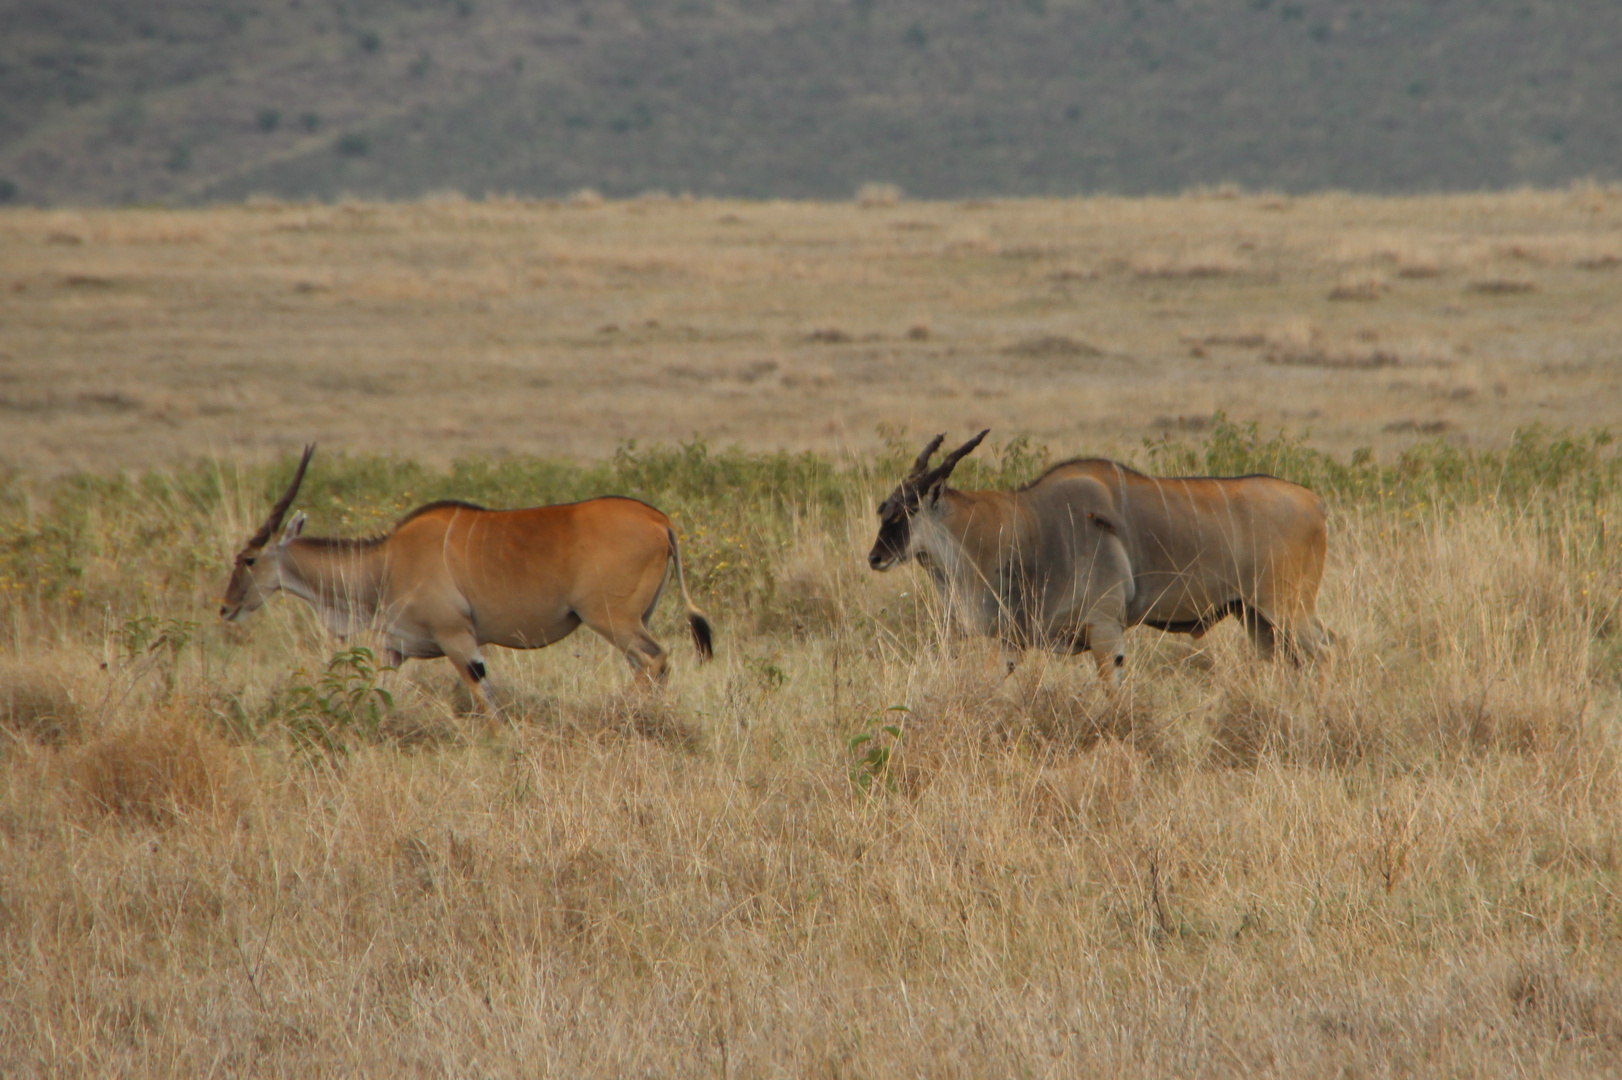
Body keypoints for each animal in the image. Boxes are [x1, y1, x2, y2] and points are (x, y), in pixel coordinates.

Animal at [222, 444, 710, 697]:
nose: (226, 608)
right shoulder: (396, 647)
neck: (387, 561)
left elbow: (486, 706)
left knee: (657, 659)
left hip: (613, 620)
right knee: (650, 665)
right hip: (633, 620)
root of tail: (659, 521)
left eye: (248, 560)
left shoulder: (460, 641)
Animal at [869, 428, 1336, 681]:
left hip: (1288, 607)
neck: (1026, 526)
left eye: (909, 510)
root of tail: (1315, 503)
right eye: (885, 508)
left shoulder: (1106, 627)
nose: (875, 557)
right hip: (1254, 616)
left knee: (1325, 652)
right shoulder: (1013, 641)